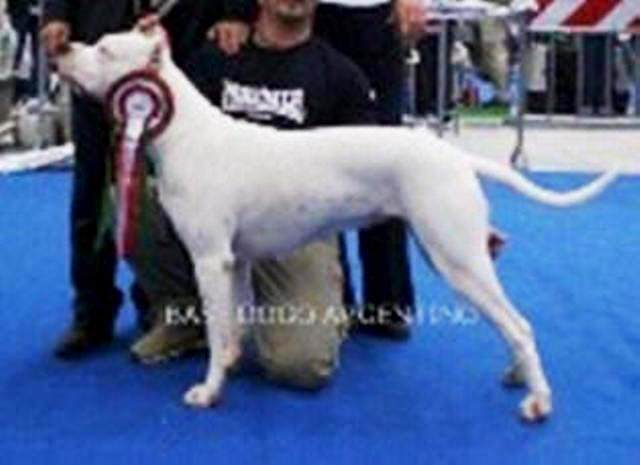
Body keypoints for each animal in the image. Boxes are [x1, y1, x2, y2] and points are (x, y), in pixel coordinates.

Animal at [56, 27, 618, 422]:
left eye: (104, 49)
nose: (60, 48)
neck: (185, 132)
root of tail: (455, 157)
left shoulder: (210, 260)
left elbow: (216, 329)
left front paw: (208, 391)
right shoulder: (233, 261)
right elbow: (231, 326)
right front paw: (229, 368)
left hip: (456, 258)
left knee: (518, 325)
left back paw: (538, 402)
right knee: (513, 325)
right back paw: (519, 376)